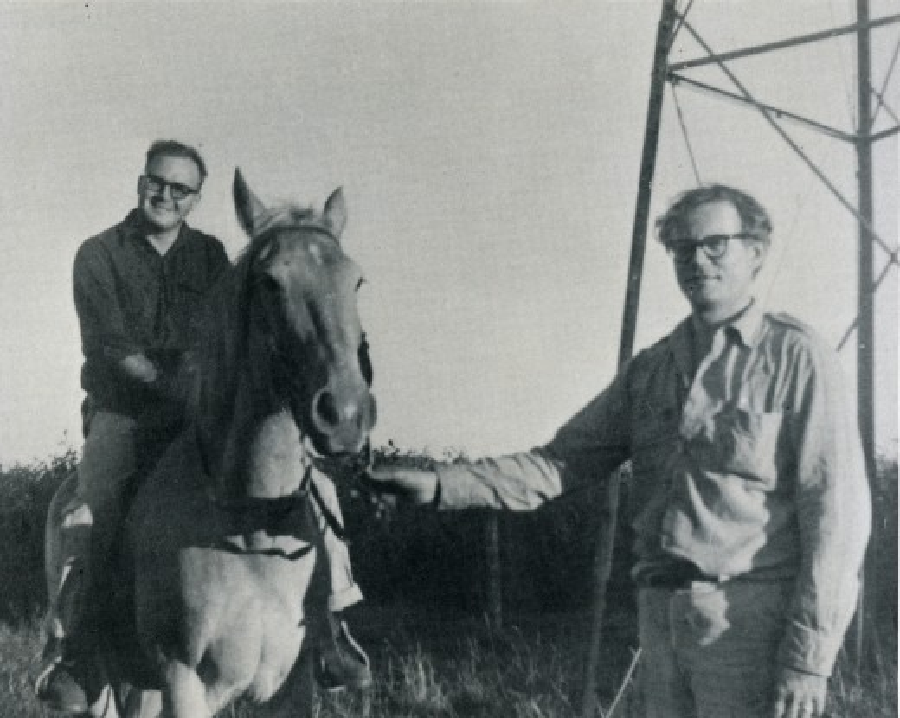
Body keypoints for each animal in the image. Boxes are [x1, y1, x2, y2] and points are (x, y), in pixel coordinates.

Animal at [44, 170, 374, 718]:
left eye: (356, 281)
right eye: (270, 283)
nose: (344, 415)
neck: (250, 525)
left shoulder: (293, 686)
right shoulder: (184, 682)